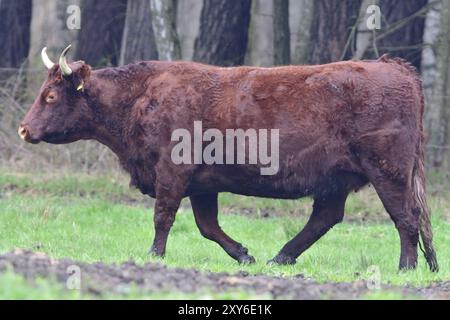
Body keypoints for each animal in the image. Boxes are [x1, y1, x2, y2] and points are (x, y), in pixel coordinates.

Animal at [19, 44, 438, 270]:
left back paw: (405, 267)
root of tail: (392, 65)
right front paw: (244, 255)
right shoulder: (203, 185)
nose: (23, 130)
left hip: (388, 173)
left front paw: (154, 256)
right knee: (326, 217)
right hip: (336, 180)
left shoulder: (172, 173)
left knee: (405, 218)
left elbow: (163, 217)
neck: (140, 95)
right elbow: (208, 226)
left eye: (51, 96)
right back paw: (279, 258)